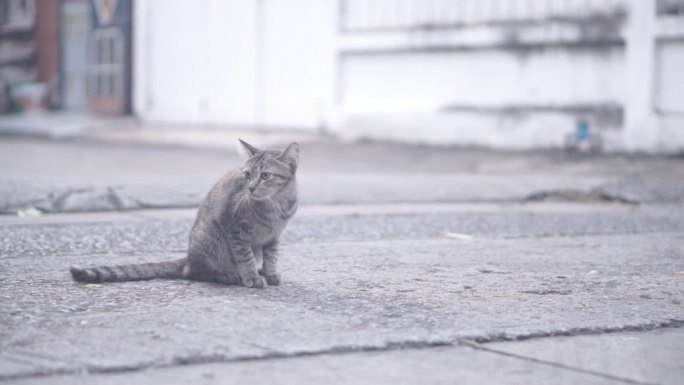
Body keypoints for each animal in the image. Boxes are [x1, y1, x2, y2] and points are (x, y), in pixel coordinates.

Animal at [69, 139, 300, 288]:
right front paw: (252, 276)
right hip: (212, 237)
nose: (250, 188)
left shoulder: (274, 236)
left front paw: (269, 272)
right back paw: (226, 274)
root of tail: (188, 258)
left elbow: (272, 255)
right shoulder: (235, 229)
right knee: (196, 272)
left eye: (265, 175)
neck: (275, 204)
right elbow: (246, 257)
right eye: (247, 175)